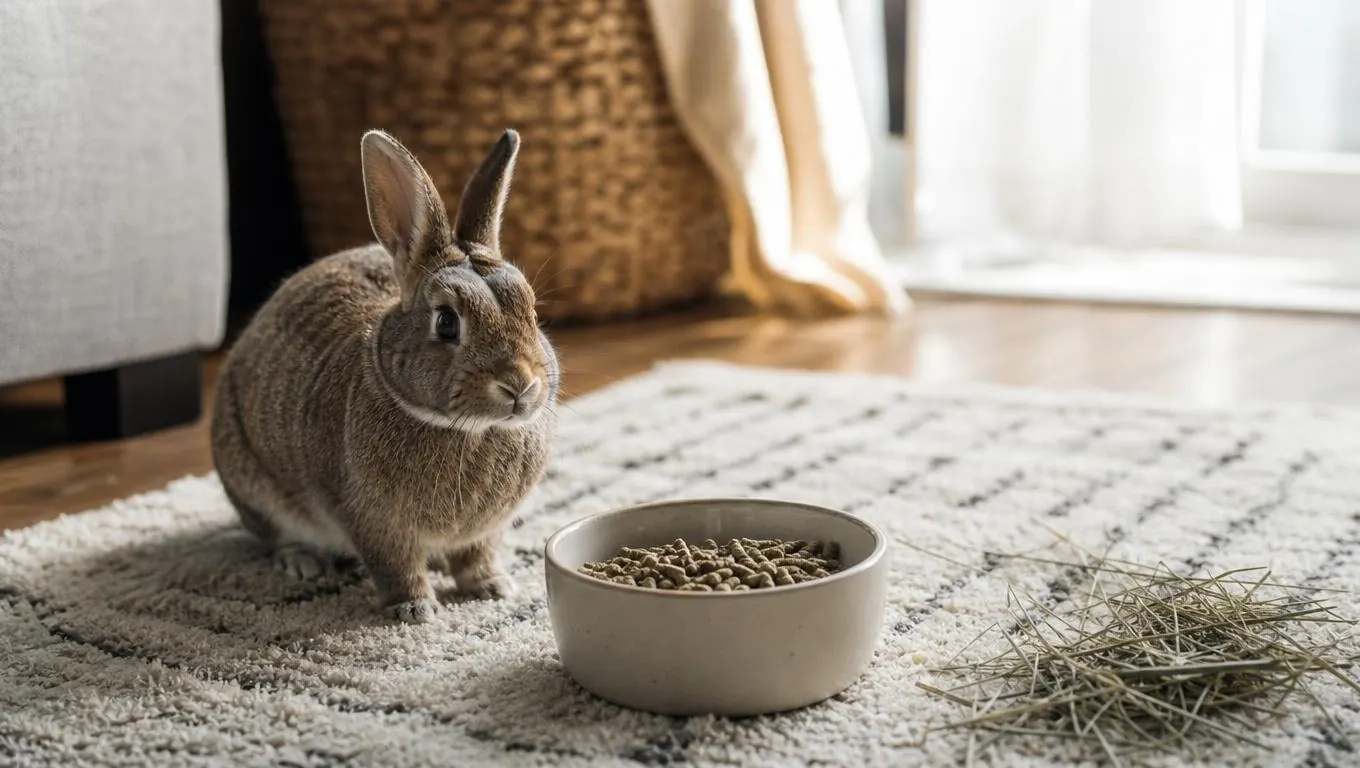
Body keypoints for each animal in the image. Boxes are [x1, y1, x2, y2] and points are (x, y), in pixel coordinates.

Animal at [210, 128, 558, 624]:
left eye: (530, 310)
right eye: (446, 323)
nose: (521, 385)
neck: (470, 429)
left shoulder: (484, 531)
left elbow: (476, 555)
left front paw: (491, 586)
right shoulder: (374, 524)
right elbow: (395, 566)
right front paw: (414, 609)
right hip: (252, 483)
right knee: (276, 534)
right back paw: (302, 563)